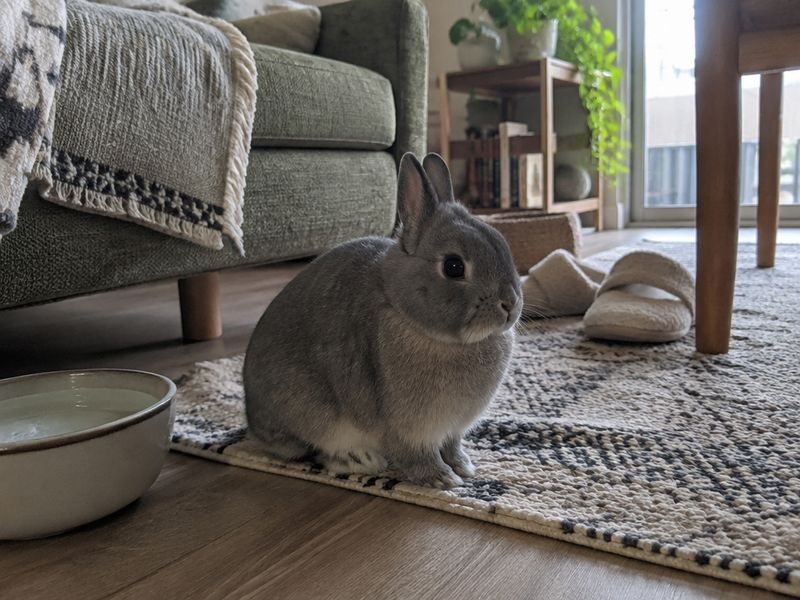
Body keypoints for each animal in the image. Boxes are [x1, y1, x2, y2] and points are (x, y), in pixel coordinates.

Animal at [243, 152, 522, 489]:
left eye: (502, 243)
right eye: (454, 266)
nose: (510, 304)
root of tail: (251, 420)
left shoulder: (452, 430)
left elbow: (452, 446)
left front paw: (464, 467)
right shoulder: (406, 429)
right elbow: (417, 455)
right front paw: (442, 479)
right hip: (309, 414)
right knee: (312, 450)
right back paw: (361, 461)